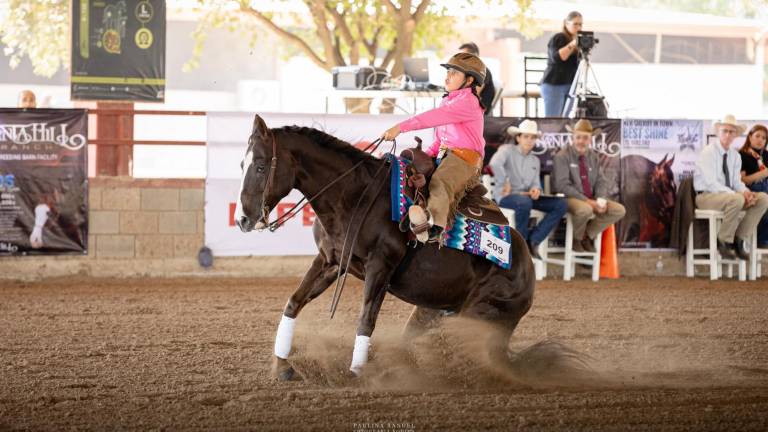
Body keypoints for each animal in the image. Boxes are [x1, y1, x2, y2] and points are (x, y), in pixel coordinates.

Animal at [234, 114, 536, 378]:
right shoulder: (330, 261)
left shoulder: (380, 267)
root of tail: (528, 270)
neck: (354, 195)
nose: (242, 219)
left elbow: (366, 320)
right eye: (241, 165)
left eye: (260, 166)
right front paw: (282, 365)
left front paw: (357, 373)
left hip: (481, 314)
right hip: (432, 310)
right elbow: (293, 303)